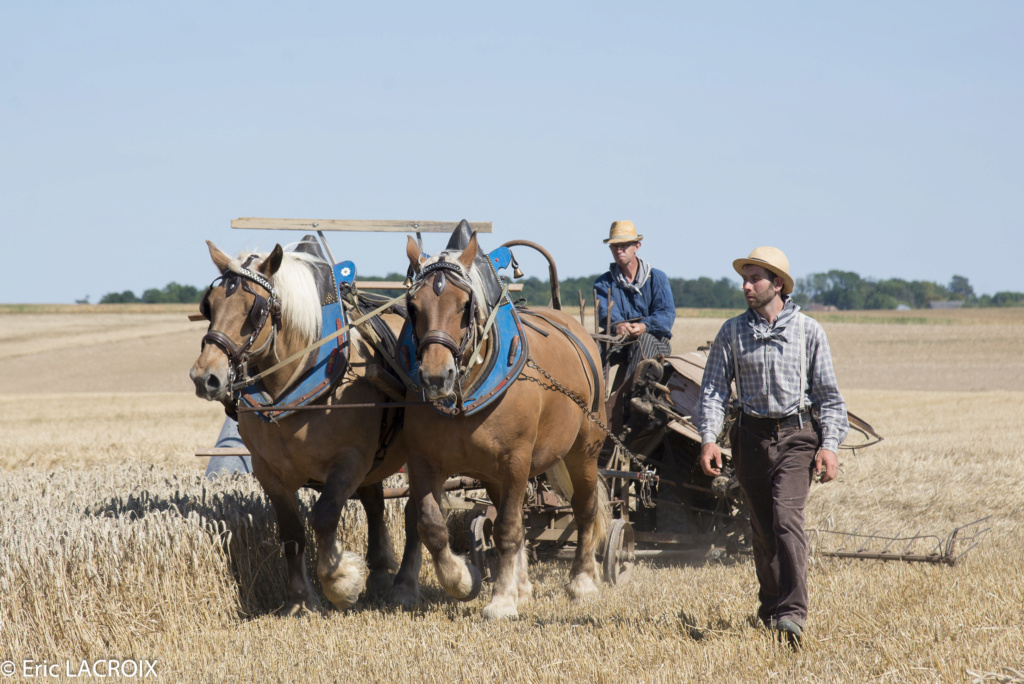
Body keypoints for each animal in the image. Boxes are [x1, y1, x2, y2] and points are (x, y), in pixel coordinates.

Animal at [190, 240, 417, 614]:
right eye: (210, 305)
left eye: (256, 310)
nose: (205, 377)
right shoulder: (267, 470)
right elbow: (292, 532)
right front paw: (299, 600)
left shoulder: (350, 460)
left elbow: (323, 516)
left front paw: (341, 581)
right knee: (375, 503)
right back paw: (381, 572)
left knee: (418, 508)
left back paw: (404, 584)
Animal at [401, 233, 606, 618]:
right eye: (413, 305)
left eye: (464, 305)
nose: (436, 378)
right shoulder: (423, 461)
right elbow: (431, 526)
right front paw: (463, 580)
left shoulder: (515, 461)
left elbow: (508, 530)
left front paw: (501, 601)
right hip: (497, 475)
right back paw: (522, 586)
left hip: (584, 450)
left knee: (585, 509)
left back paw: (582, 582)